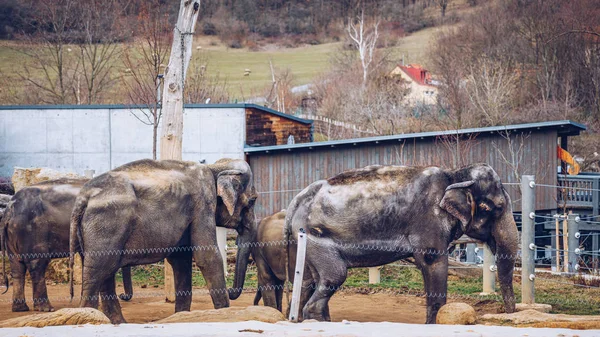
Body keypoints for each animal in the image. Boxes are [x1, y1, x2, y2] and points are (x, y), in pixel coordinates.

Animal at [0, 178, 134, 312]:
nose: (122, 295)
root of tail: (9, 210)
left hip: (13, 233)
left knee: (17, 267)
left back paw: (20, 308)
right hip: (31, 232)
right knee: (37, 265)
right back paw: (46, 309)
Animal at [70, 158, 258, 322]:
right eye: (253, 200)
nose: (231, 291)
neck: (215, 167)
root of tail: (82, 198)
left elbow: (181, 261)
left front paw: (182, 317)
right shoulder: (203, 203)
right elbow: (207, 257)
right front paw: (225, 315)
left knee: (105, 272)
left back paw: (118, 323)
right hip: (106, 225)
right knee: (98, 272)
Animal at [284, 163, 516, 322]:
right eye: (495, 207)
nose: (507, 314)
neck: (455, 174)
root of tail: (296, 201)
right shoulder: (429, 220)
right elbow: (432, 261)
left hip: (306, 242)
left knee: (309, 281)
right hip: (316, 237)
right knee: (334, 276)